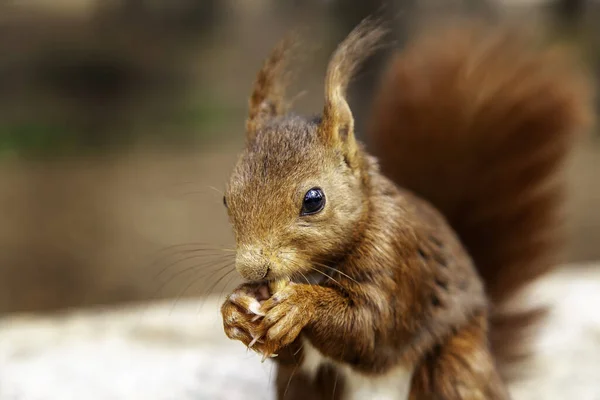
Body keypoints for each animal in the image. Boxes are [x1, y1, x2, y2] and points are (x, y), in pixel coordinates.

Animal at [219, 17, 592, 400]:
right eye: (226, 199)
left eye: (313, 200)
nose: (252, 269)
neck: (317, 271)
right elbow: (291, 354)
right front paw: (235, 310)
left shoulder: (397, 258)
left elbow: (371, 328)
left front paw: (300, 304)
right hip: (304, 387)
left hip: (454, 367)